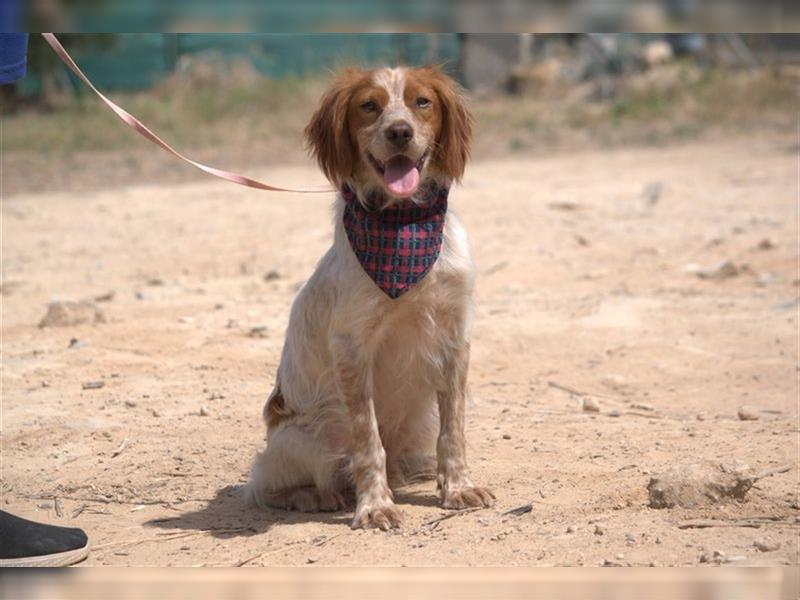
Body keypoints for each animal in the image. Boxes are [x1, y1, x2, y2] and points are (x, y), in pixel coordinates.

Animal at [244, 63, 494, 528]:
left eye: (421, 102)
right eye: (368, 106)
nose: (399, 131)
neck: (403, 226)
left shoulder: (455, 334)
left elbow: (454, 429)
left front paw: (457, 487)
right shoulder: (352, 346)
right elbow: (367, 440)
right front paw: (374, 505)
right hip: (305, 437)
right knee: (264, 486)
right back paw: (315, 496)